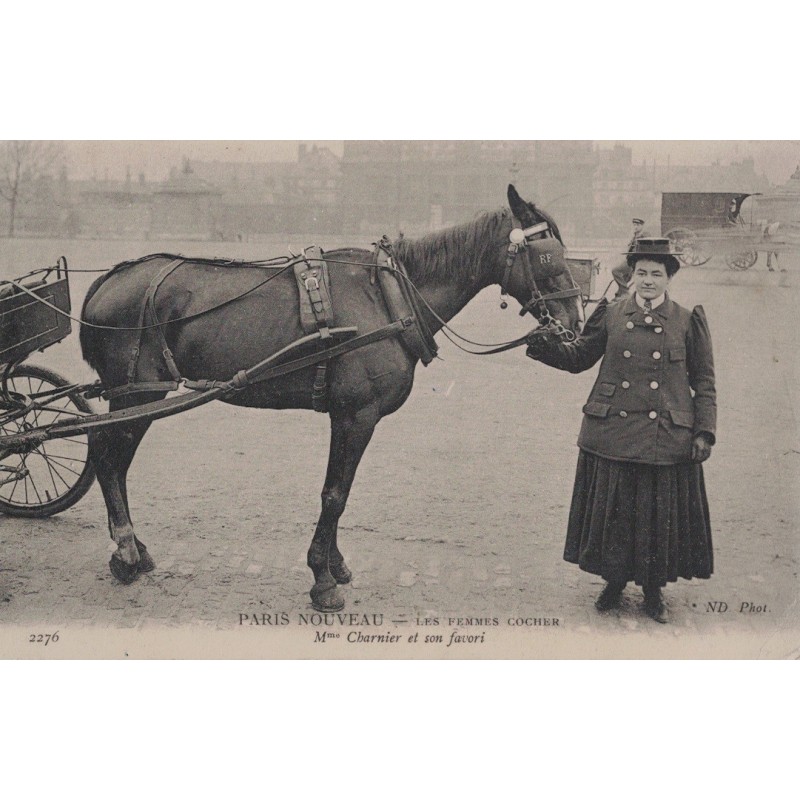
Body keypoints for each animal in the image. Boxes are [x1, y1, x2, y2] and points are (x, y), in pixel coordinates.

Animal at [79, 186, 580, 612]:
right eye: (548, 256)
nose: (574, 322)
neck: (386, 297)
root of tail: (110, 279)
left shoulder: (355, 418)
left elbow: (343, 491)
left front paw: (334, 566)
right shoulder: (355, 415)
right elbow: (334, 494)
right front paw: (322, 579)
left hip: (141, 398)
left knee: (113, 462)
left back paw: (134, 549)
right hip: (139, 396)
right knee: (107, 459)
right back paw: (126, 551)